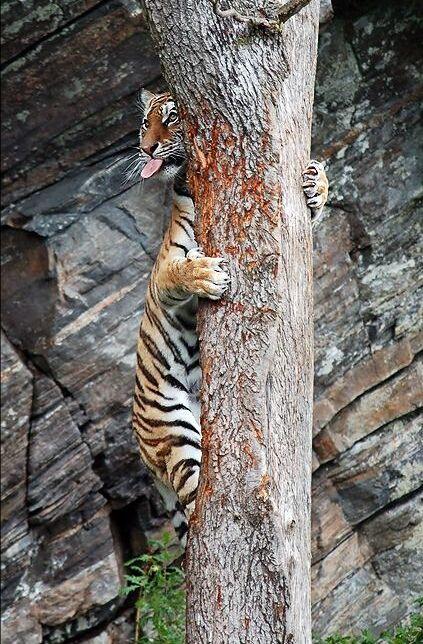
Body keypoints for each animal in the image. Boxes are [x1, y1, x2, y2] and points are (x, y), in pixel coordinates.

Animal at [131, 89, 328, 546]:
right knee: (194, 504)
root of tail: (140, 450)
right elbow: (182, 271)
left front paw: (316, 182)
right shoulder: (163, 274)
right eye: (146, 123)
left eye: (171, 118)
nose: (146, 148)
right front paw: (209, 275)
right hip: (172, 430)